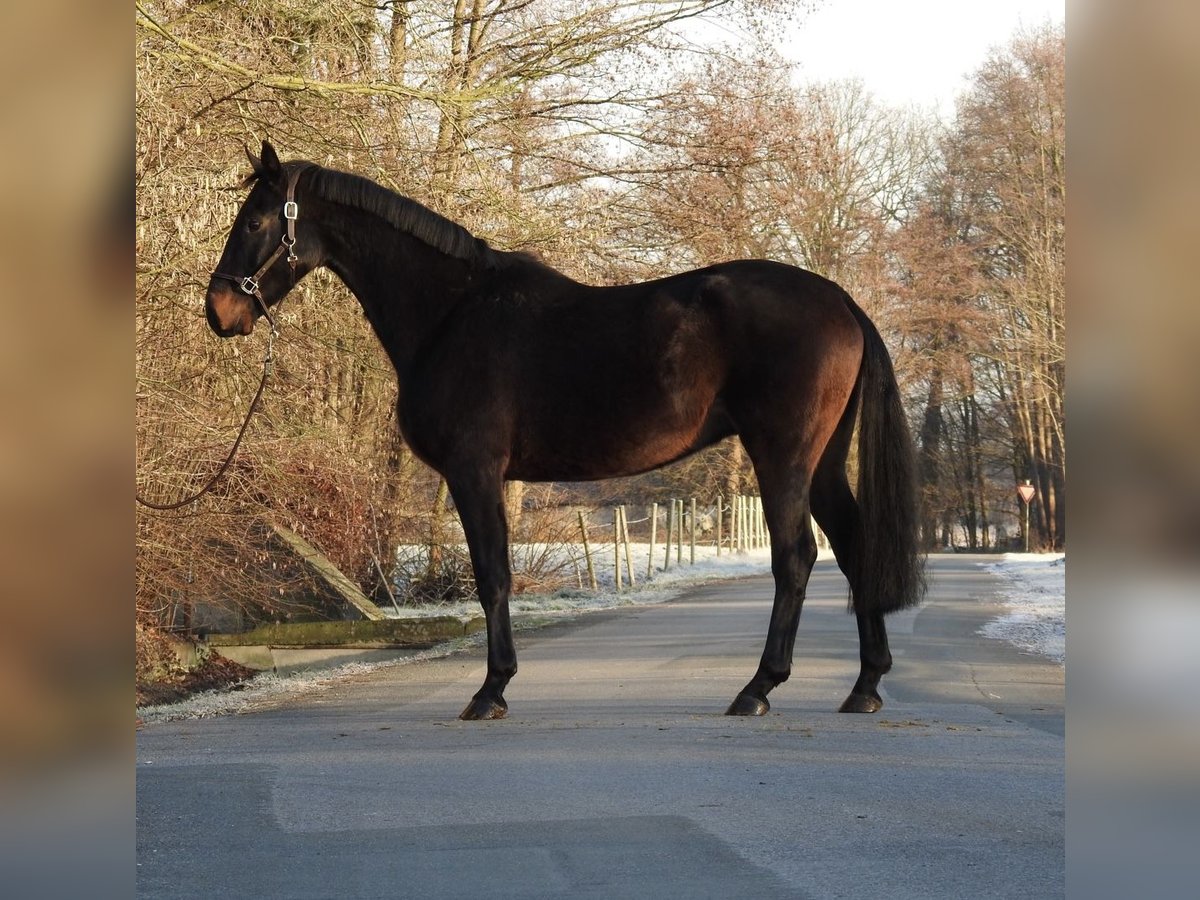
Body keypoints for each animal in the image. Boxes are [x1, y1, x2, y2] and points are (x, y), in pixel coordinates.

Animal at [206, 141, 926, 720]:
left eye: (254, 220)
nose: (219, 310)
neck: (452, 314)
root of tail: (841, 300)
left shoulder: (474, 470)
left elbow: (492, 574)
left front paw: (491, 690)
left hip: (784, 456)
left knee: (796, 557)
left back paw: (759, 688)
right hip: (823, 461)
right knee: (854, 546)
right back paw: (864, 686)